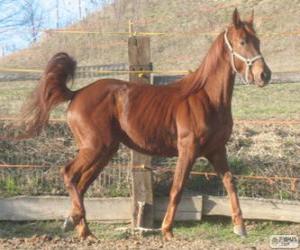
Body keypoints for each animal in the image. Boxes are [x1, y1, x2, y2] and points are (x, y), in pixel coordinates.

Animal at [19, 8, 270, 240]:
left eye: (258, 41)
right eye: (242, 41)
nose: (264, 75)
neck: (206, 97)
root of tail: (76, 93)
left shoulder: (217, 150)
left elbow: (230, 182)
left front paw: (240, 227)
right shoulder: (187, 150)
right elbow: (177, 188)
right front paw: (167, 230)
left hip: (104, 151)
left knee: (81, 184)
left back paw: (84, 230)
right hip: (94, 147)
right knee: (69, 174)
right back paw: (78, 223)